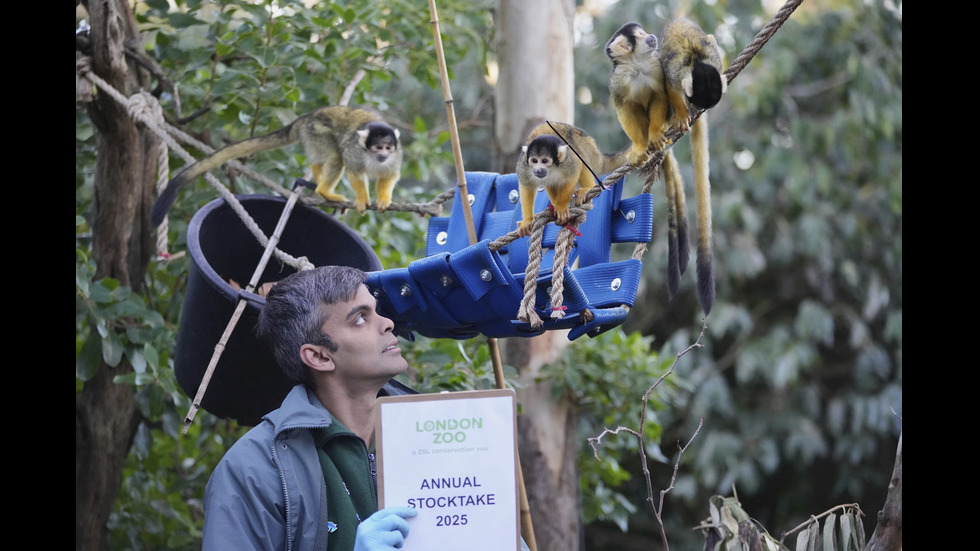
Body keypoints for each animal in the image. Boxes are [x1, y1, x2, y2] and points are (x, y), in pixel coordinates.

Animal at [150, 105, 402, 226]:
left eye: (388, 148)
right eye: (378, 148)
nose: (383, 155)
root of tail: (307, 116)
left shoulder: (397, 155)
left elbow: (390, 175)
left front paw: (383, 199)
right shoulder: (356, 152)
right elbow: (353, 170)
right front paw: (362, 199)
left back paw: (319, 180)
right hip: (316, 131)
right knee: (336, 156)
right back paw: (324, 190)